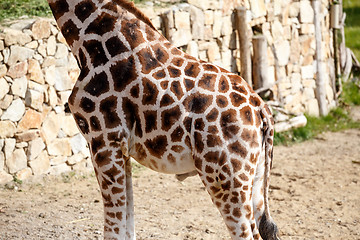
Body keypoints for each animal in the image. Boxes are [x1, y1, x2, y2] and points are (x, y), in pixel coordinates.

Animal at [46, 0, 280, 240]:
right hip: (254, 177)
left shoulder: (103, 141)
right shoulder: (121, 148)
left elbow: (113, 228)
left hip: (225, 177)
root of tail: (262, 109)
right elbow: (128, 223)